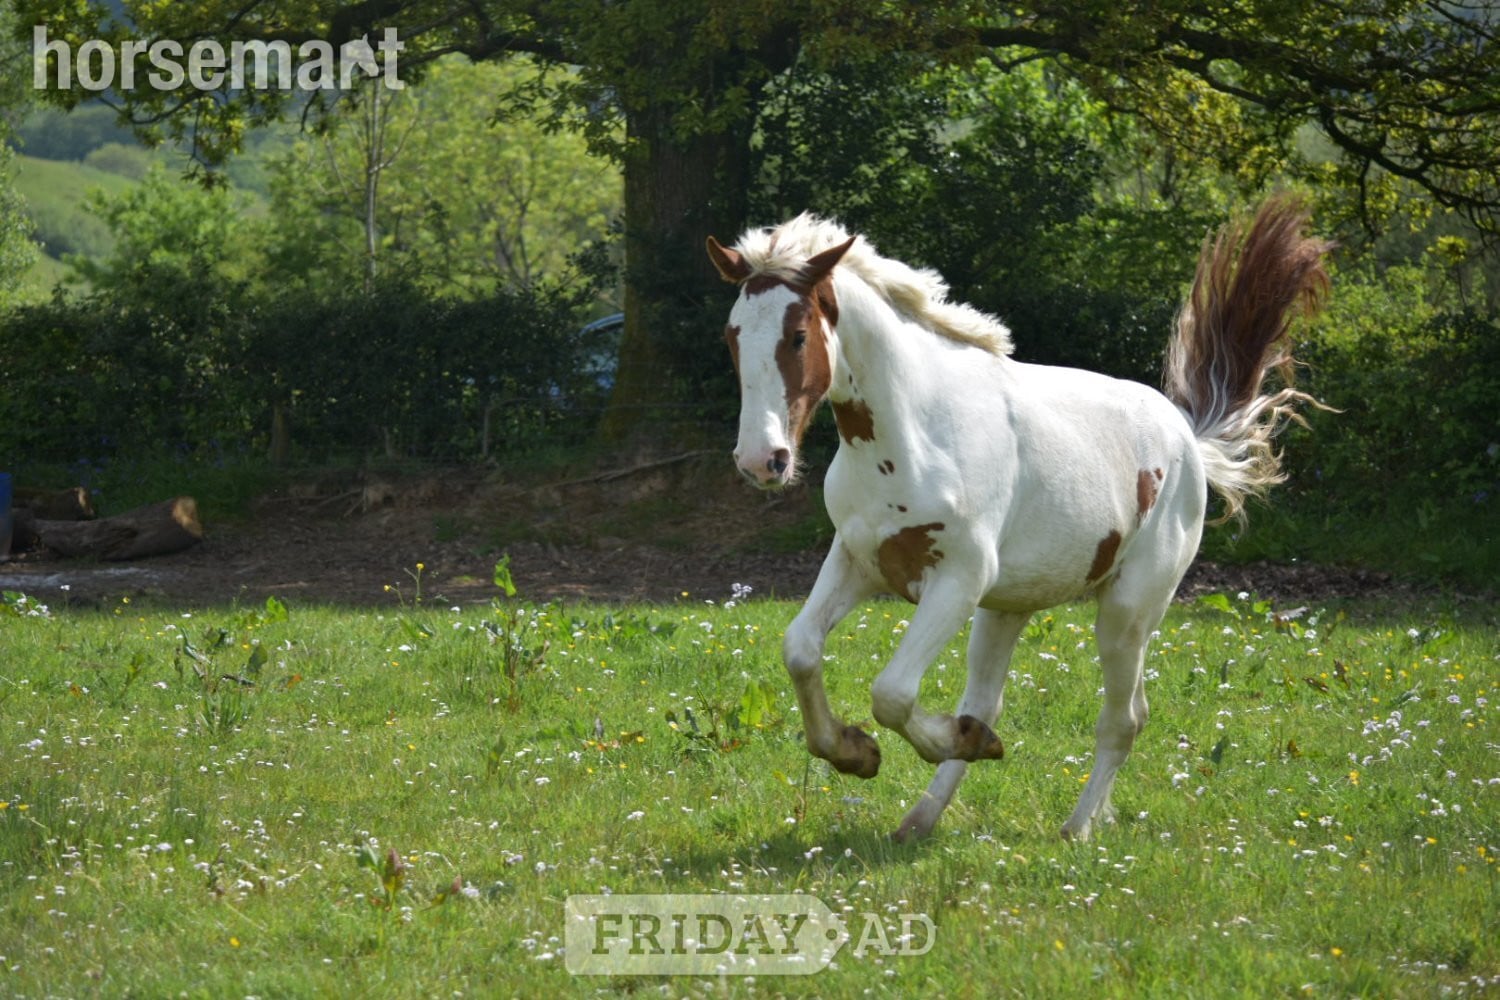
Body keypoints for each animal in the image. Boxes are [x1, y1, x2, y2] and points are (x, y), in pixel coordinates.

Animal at [706, 196, 1331, 841]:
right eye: (732, 335)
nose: (762, 460)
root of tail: (1187, 433)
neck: (916, 433)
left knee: (1124, 718)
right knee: (991, 700)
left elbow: (892, 692)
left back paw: (1077, 826)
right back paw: (925, 816)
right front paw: (856, 752)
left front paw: (928, 743)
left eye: (799, 334)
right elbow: (801, 649)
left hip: (1128, 611)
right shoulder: (859, 559)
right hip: (1006, 608)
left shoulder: (958, 579)